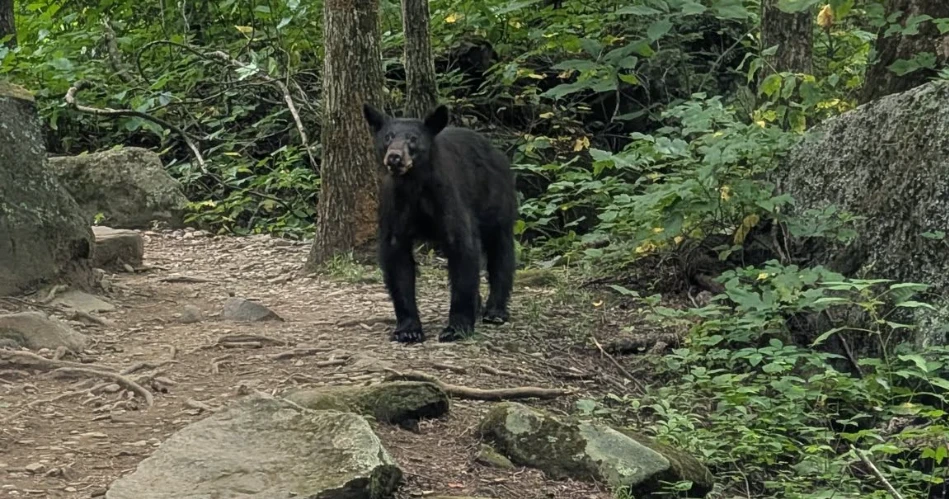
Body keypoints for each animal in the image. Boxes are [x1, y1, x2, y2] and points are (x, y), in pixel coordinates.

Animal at [362, 102, 518, 343]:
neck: (414, 185)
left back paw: (495, 311)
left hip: (497, 198)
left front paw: (457, 327)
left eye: (413, 138)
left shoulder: (447, 197)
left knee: (500, 249)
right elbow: (397, 259)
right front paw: (408, 329)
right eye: (388, 137)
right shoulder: (395, 205)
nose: (395, 157)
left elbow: (463, 249)